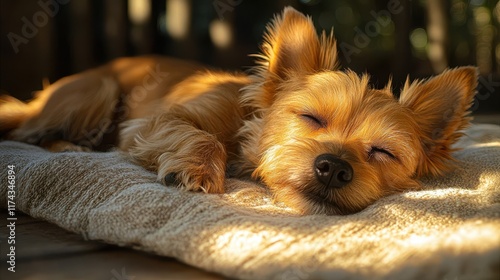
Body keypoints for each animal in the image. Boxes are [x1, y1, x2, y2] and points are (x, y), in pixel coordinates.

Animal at [0, 8, 476, 214]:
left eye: (382, 151)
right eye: (311, 118)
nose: (334, 168)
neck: (246, 129)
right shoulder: (153, 123)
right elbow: (202, 136)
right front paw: (198, 168)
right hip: (96, 92)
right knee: (24, 133)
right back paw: (69, 147)